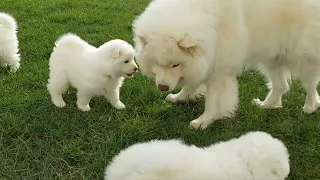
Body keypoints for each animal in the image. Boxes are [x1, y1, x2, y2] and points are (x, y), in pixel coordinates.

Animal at [132, 0, 320, 129]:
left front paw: (204, 121)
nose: (162, 87)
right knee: (281, 85)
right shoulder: (203, 64)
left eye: (175, 65)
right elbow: (190, 85)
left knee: (310, 85)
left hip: (303, 58)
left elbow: (213, 102)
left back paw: (310, 107)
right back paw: (267, 105)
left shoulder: (219, 71)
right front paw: (180, 97)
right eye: (157, 63)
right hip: (271, 58)